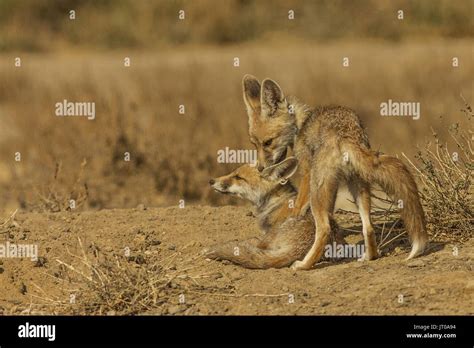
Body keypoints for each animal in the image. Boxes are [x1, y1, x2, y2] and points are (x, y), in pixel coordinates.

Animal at [243, 75, 428, 270]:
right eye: (254, 143)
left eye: (268, 142)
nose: (260, 168)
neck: (300, 125)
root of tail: (345, 133)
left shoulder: (306, 173)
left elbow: (298, 209)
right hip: (357, 186)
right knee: (368, 227)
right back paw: (369, 256)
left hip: (317, 191)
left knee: (324, 228)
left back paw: (304, 264)